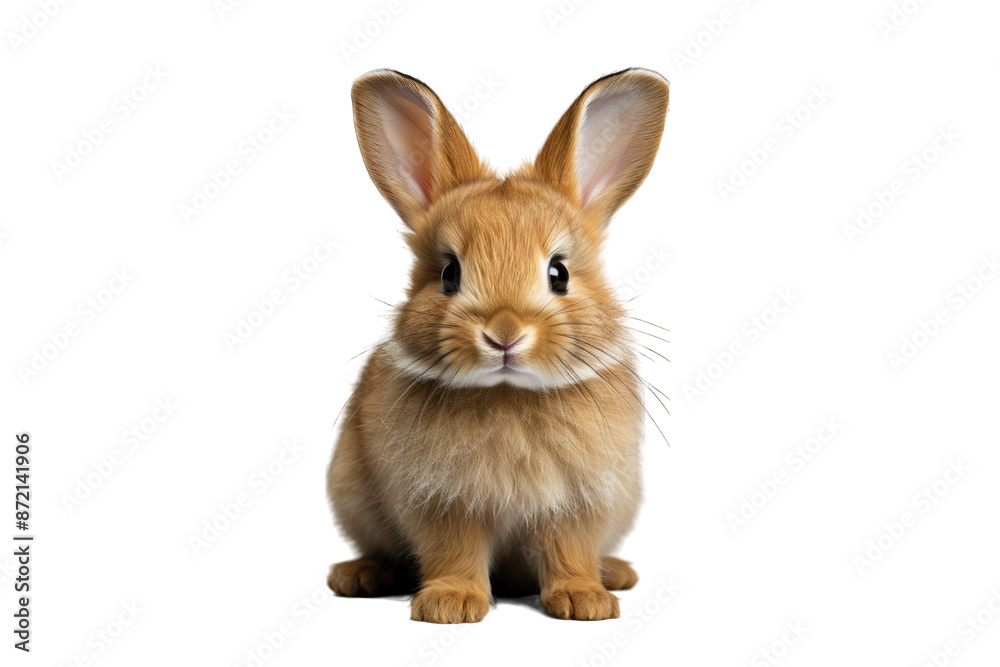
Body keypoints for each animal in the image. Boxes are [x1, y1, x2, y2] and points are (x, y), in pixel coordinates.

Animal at [327, 67, 669, 623]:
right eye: (449, 273)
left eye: (559, 273)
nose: (504, 333)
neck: (509, 392)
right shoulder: (444, 503)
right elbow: (455, 551)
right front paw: (450, 604)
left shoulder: (580, 503)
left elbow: (570, 548)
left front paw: (585, 601)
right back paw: (358, 576)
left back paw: (615, 574)